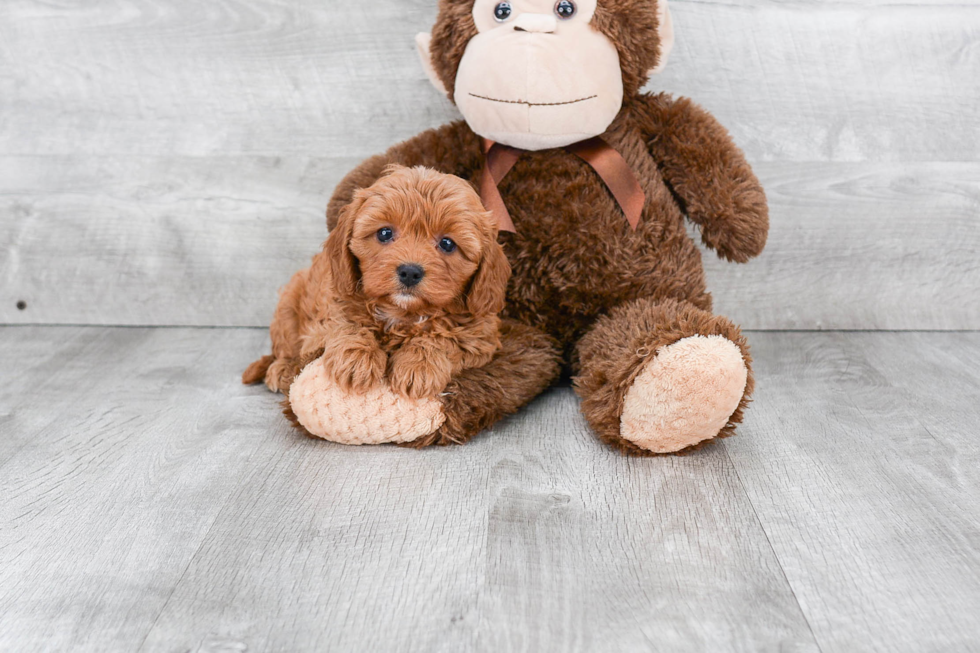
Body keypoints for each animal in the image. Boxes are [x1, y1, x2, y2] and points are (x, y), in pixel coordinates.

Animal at [243, 164, 512, 398]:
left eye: (447, 243)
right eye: (384, 233)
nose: (410, 272)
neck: (402, 313)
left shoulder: (480, 337)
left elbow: (444, 339)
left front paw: (418, 365)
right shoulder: (326, 318)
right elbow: (345, 323)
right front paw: (356, 359)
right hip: (288, 305)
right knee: (283, 348)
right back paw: (282, 368)